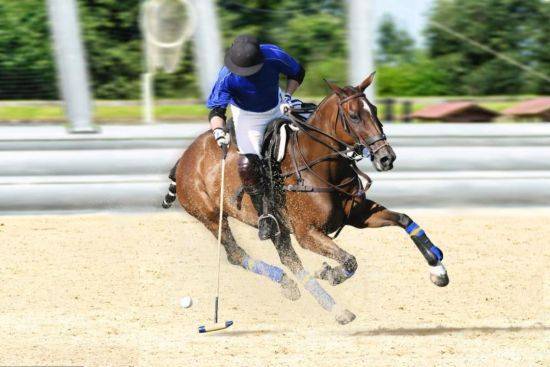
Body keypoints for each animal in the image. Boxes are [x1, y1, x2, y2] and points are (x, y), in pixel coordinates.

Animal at [166, 74, 450, 324]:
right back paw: (317, 298)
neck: (323, 167)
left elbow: (405, 220)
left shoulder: (359, 215)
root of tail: (184, 157)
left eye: (375, 109)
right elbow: (350, 261)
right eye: (354, 116)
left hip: (278, 230)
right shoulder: (307, 232)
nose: (386, 158)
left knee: (289, 261)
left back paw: (320, 301)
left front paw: (438, 271)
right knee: (237, 254)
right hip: (211, 217)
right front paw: (331, 273)